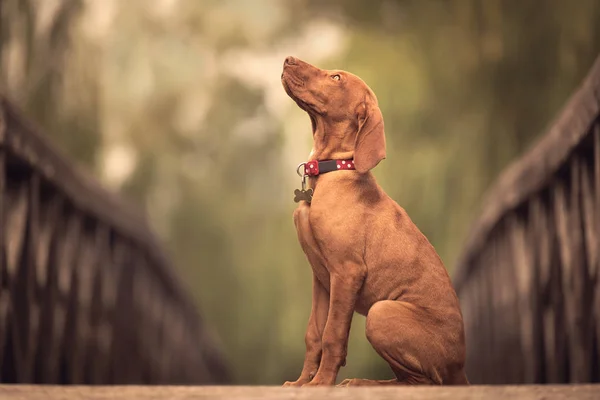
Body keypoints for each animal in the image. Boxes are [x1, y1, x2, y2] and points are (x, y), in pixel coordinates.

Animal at [280, 57, 468, 388]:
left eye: (336, 77)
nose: (288, 59)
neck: (330, 172)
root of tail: (461, 368)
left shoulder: (347, 272)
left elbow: (332, 334)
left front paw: (321, 383)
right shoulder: (321, 277)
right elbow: (313, 333)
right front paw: (302, 383)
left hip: (382, 312)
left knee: (425, 382)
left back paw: (361, 383)